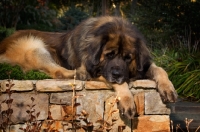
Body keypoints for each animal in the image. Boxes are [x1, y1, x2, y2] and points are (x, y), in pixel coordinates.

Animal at [0, 16, 177, 118]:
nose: (117, 74)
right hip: (34, 46)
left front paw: (168, 88)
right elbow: (120, 85)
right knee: (59, 72)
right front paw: (127, 100)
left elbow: (160, 69)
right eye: (109, 55)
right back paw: (79, 73)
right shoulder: (98, 70)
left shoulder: (142, 65)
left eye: (128, 58)